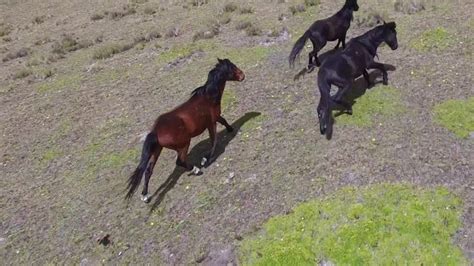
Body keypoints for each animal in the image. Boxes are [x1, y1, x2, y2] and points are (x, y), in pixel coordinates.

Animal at [126, 59, 244, 203]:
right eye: (232, 68)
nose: (242, 75)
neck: (208, 97)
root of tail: (155, 131)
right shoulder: (211, 122)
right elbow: (214, 141)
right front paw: (205, 159)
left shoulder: (216, 118)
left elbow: (224, 122)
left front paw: (230, 129)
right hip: (184, 144)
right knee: (180, 161)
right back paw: (196, 169)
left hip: (157, 150)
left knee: (148, 171)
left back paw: (145, 196)